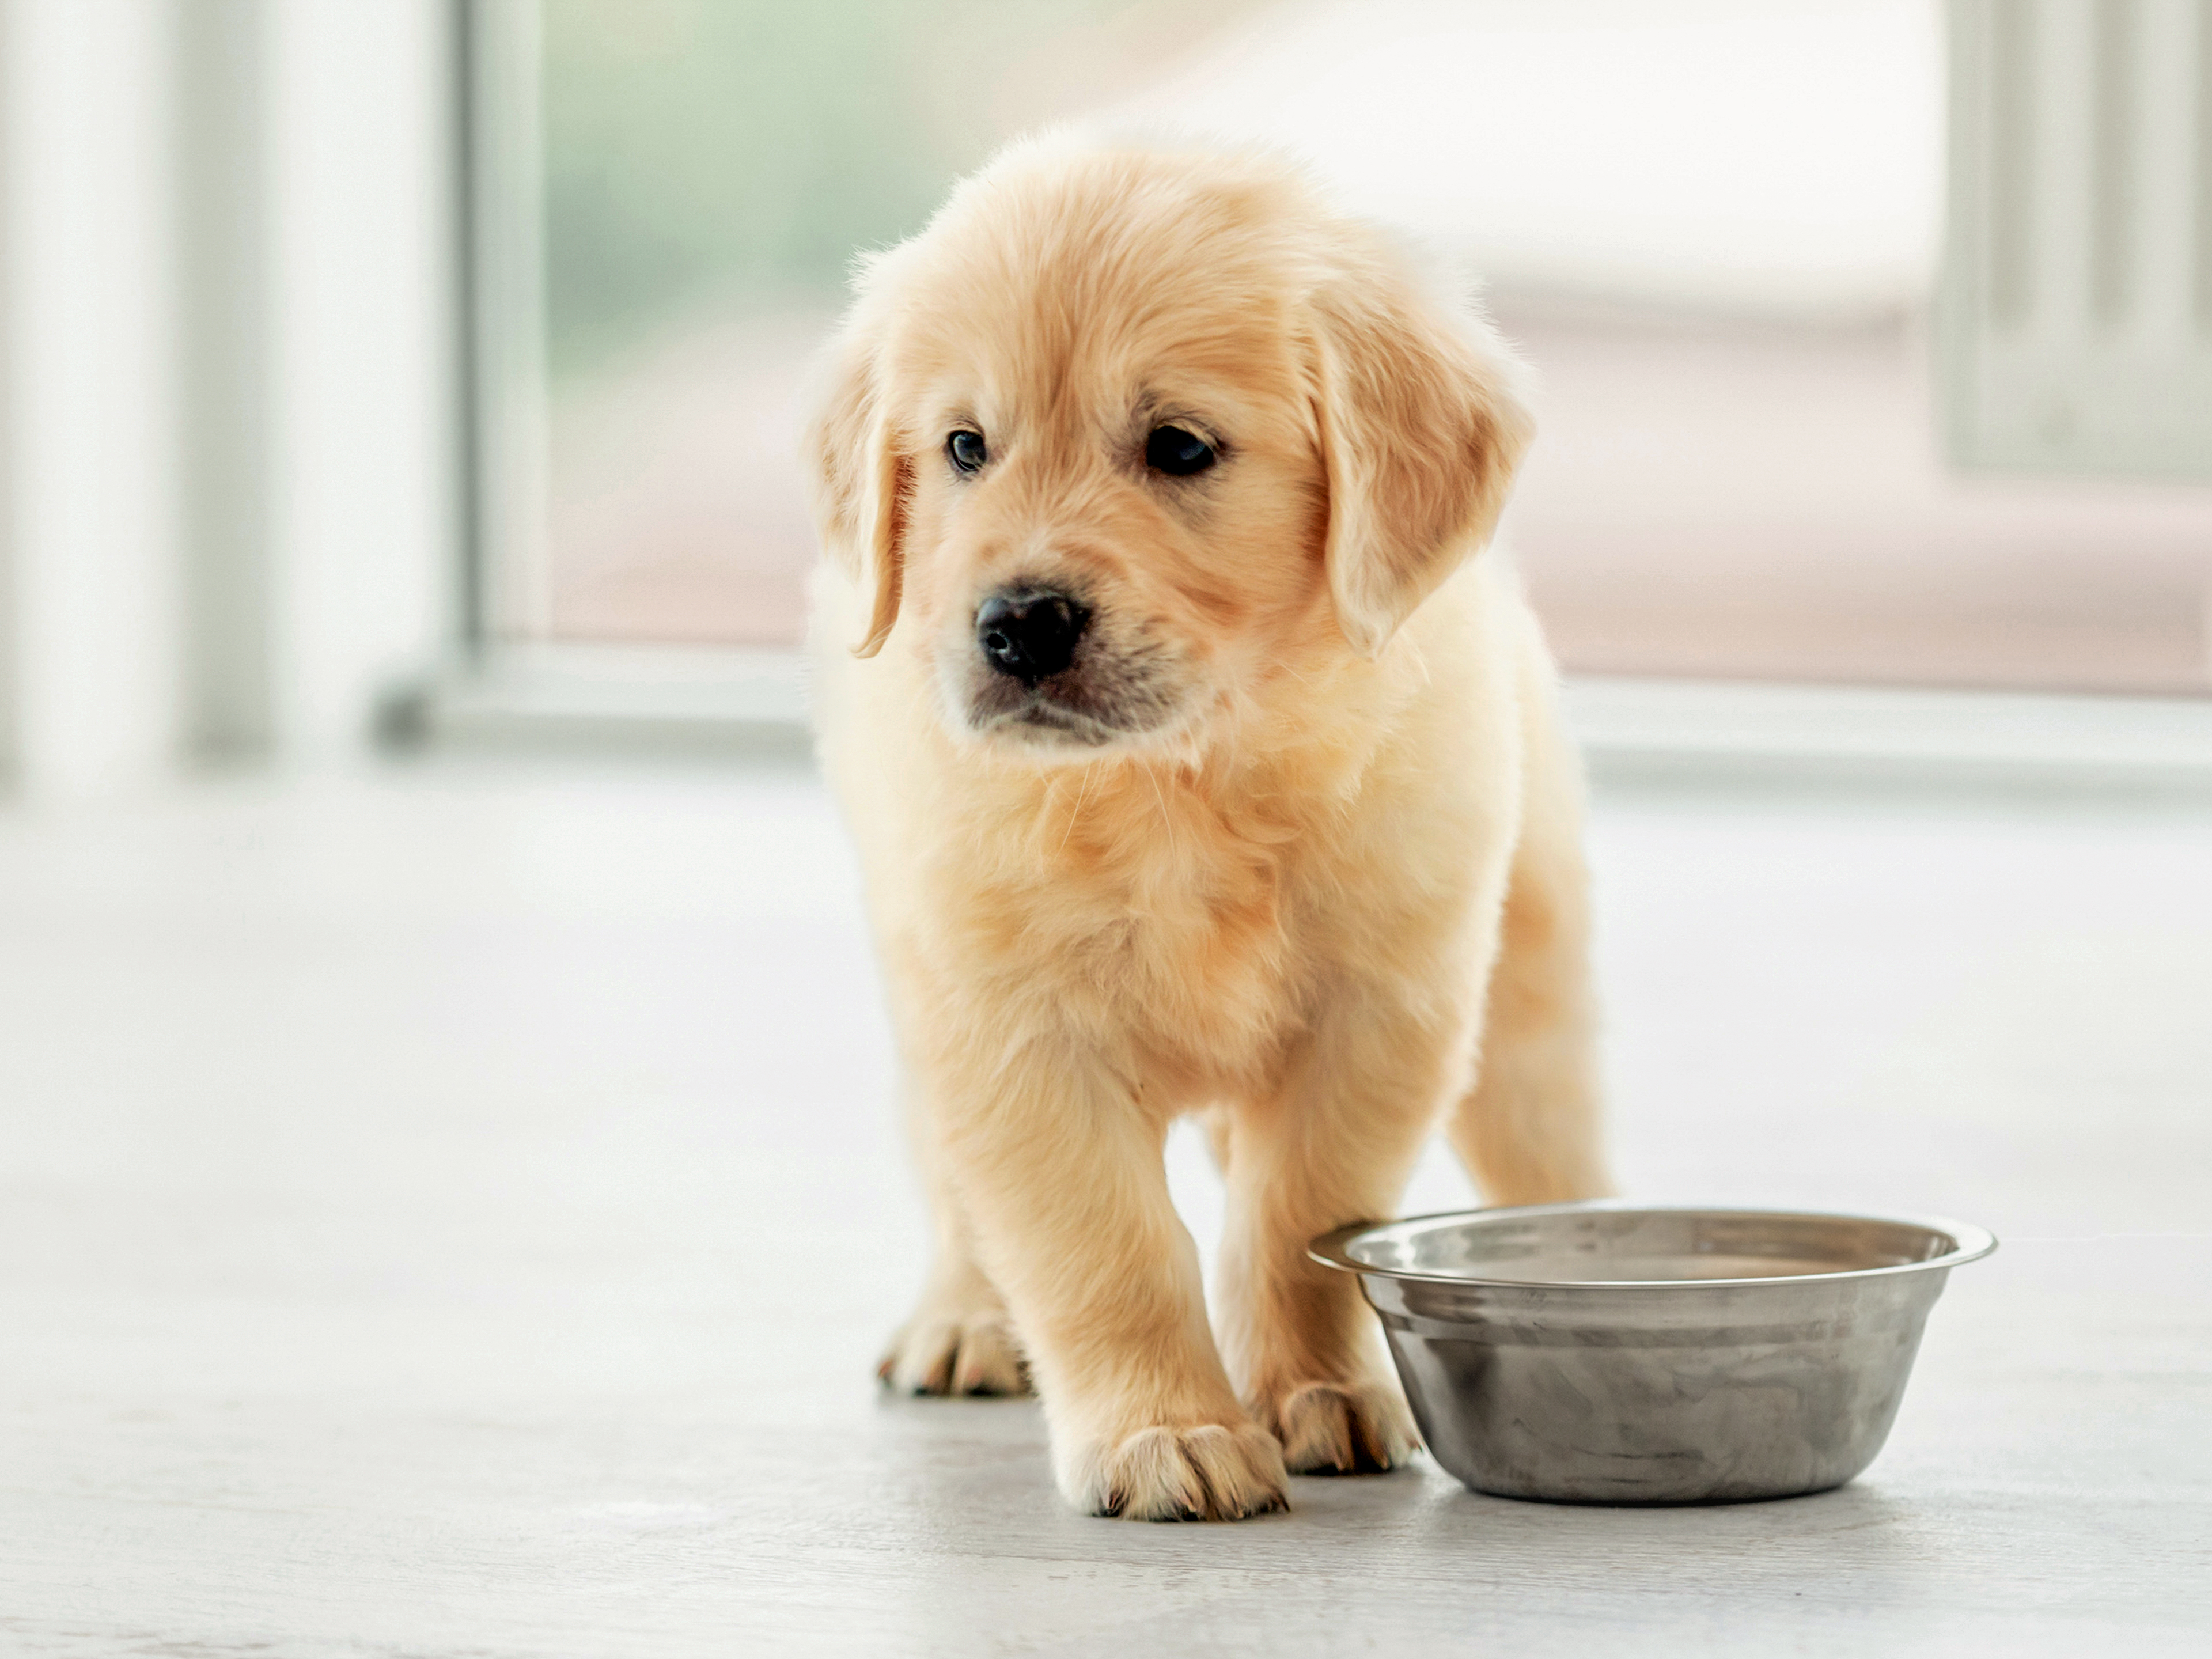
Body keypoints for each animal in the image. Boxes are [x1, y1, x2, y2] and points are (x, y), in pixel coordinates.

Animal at [805, 137, 1619, 1531]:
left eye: (1179, 447)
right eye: (965, 447)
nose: (1017, 624)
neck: (1179, 779)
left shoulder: (1379, 1012)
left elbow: (1300, 1220)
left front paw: (1314, 1389)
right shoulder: (1011, 1030)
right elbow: (1102, 1245)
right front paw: (1164, 1428)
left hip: (1530, 984)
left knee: (1546, 1129)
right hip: (917, 987)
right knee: (953, 1184)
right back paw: (964, 1319)